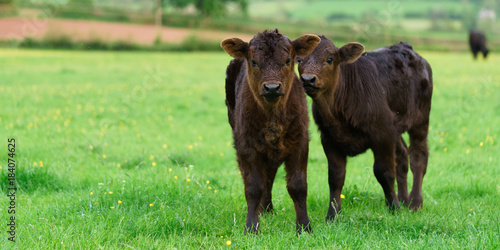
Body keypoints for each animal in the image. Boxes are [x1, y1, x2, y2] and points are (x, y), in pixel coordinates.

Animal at [222, 29, 320, 234]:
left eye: (288, 60)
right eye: (253, 62)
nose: (272, 87)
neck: (273, 116)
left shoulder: (300, 143)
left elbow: (298, 186)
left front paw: (304, 226)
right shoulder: (247, 147)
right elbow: (253, 187)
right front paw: (251, 227)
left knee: (269, 175)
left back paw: (266, 208)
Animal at [296, 36, 434, 220]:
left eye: (330, 59)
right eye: (298, 59)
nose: (308, 79)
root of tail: (406, 47)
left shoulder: (382, 134)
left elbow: (384, 172)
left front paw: (394, 208)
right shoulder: (329, 138)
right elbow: (335, 177)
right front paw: (333, 215)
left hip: (420, 119)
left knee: (418, 157)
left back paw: (415, 202)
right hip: (394, 128)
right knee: (402, 156)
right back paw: (404, 199)